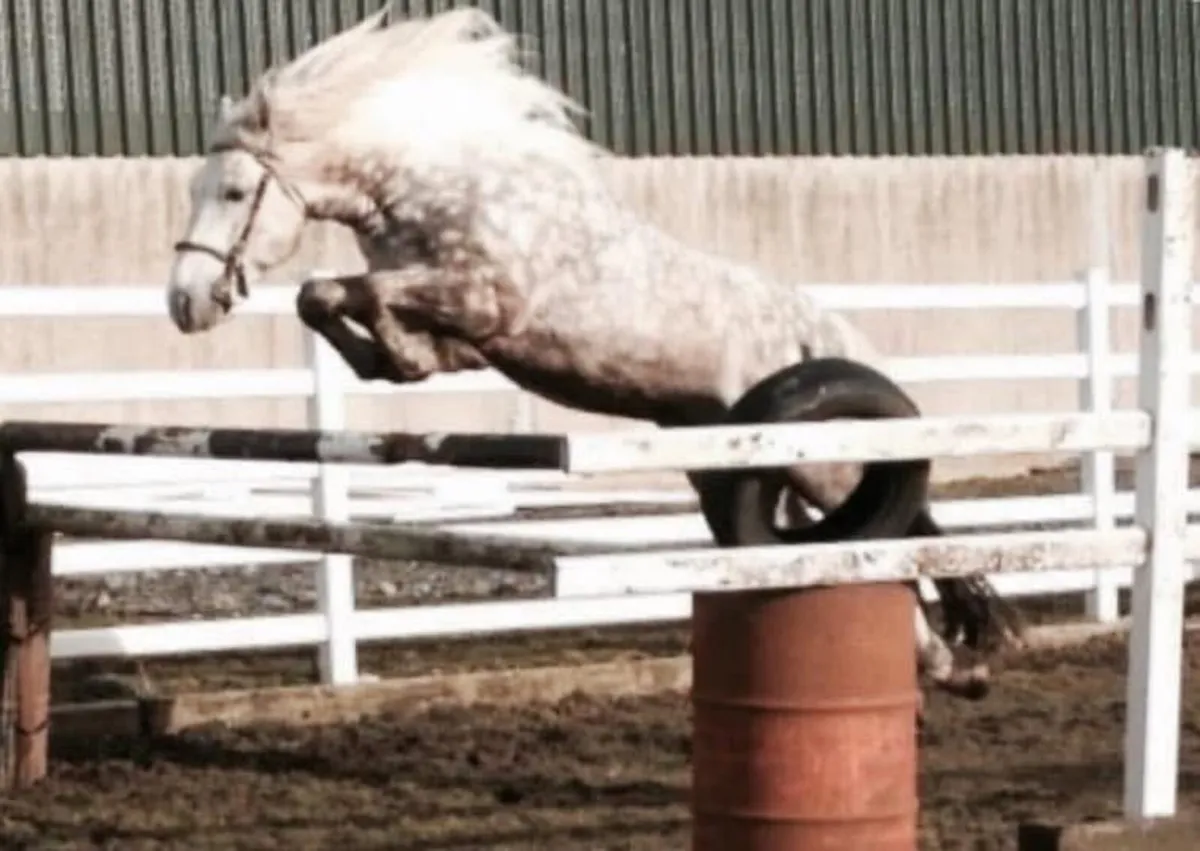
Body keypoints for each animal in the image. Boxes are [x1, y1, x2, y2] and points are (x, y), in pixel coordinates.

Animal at [166, 4, 1023, 704]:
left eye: (235, 192)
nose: (185, 302)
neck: (432, 191)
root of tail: (825, 338)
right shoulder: (459, 328)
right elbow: (330, 298)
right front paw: (388, 358)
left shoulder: (485, 302)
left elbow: (364, 298)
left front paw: (393, 352)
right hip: (738, 467)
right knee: (838, 556)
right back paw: (947, 666)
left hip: (825, 464)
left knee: (898, 540)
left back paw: (964, 662)